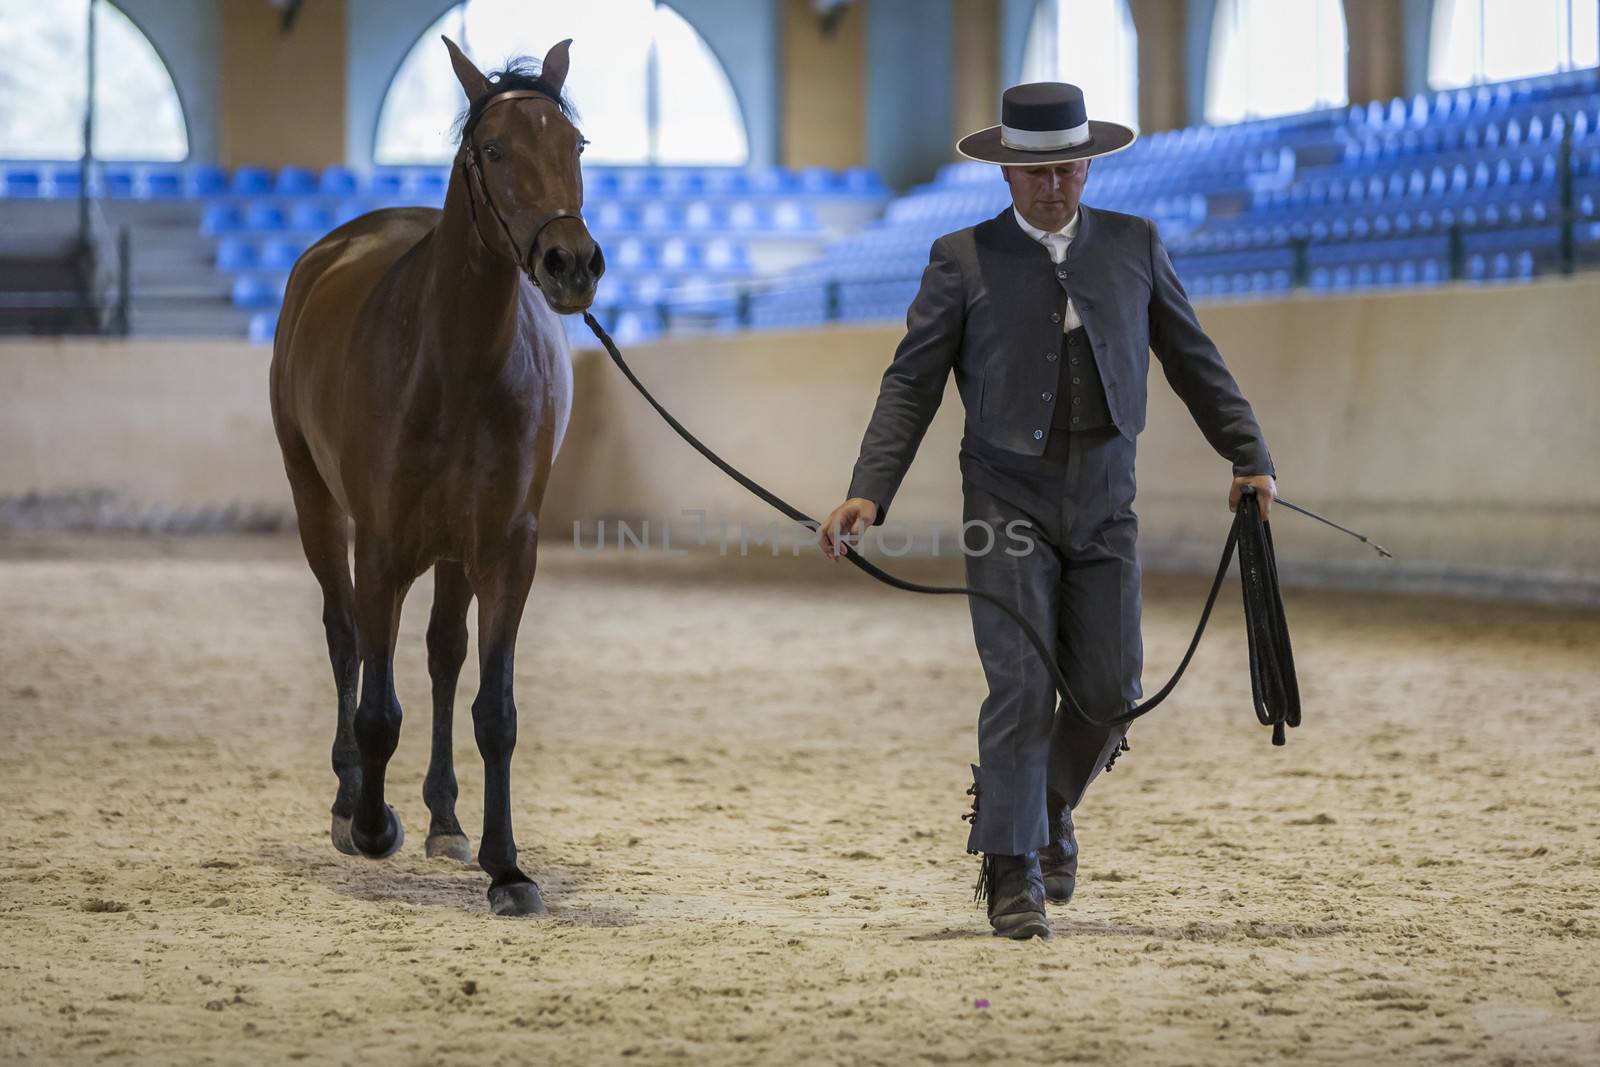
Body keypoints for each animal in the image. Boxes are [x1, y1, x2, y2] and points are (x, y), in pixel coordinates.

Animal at [272, 37, 601, 915]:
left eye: (575, 146)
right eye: (492, 150)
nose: (571, 265)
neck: (454, 366)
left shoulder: (508, 552)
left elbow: (495, 710)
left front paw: (505, 865)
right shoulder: (381, 547)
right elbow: (377, 705)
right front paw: (372, 824)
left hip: (455, 552)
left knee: (444, 655)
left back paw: (445, 818)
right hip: (318, 509)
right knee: (344, 638)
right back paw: (351, 801)